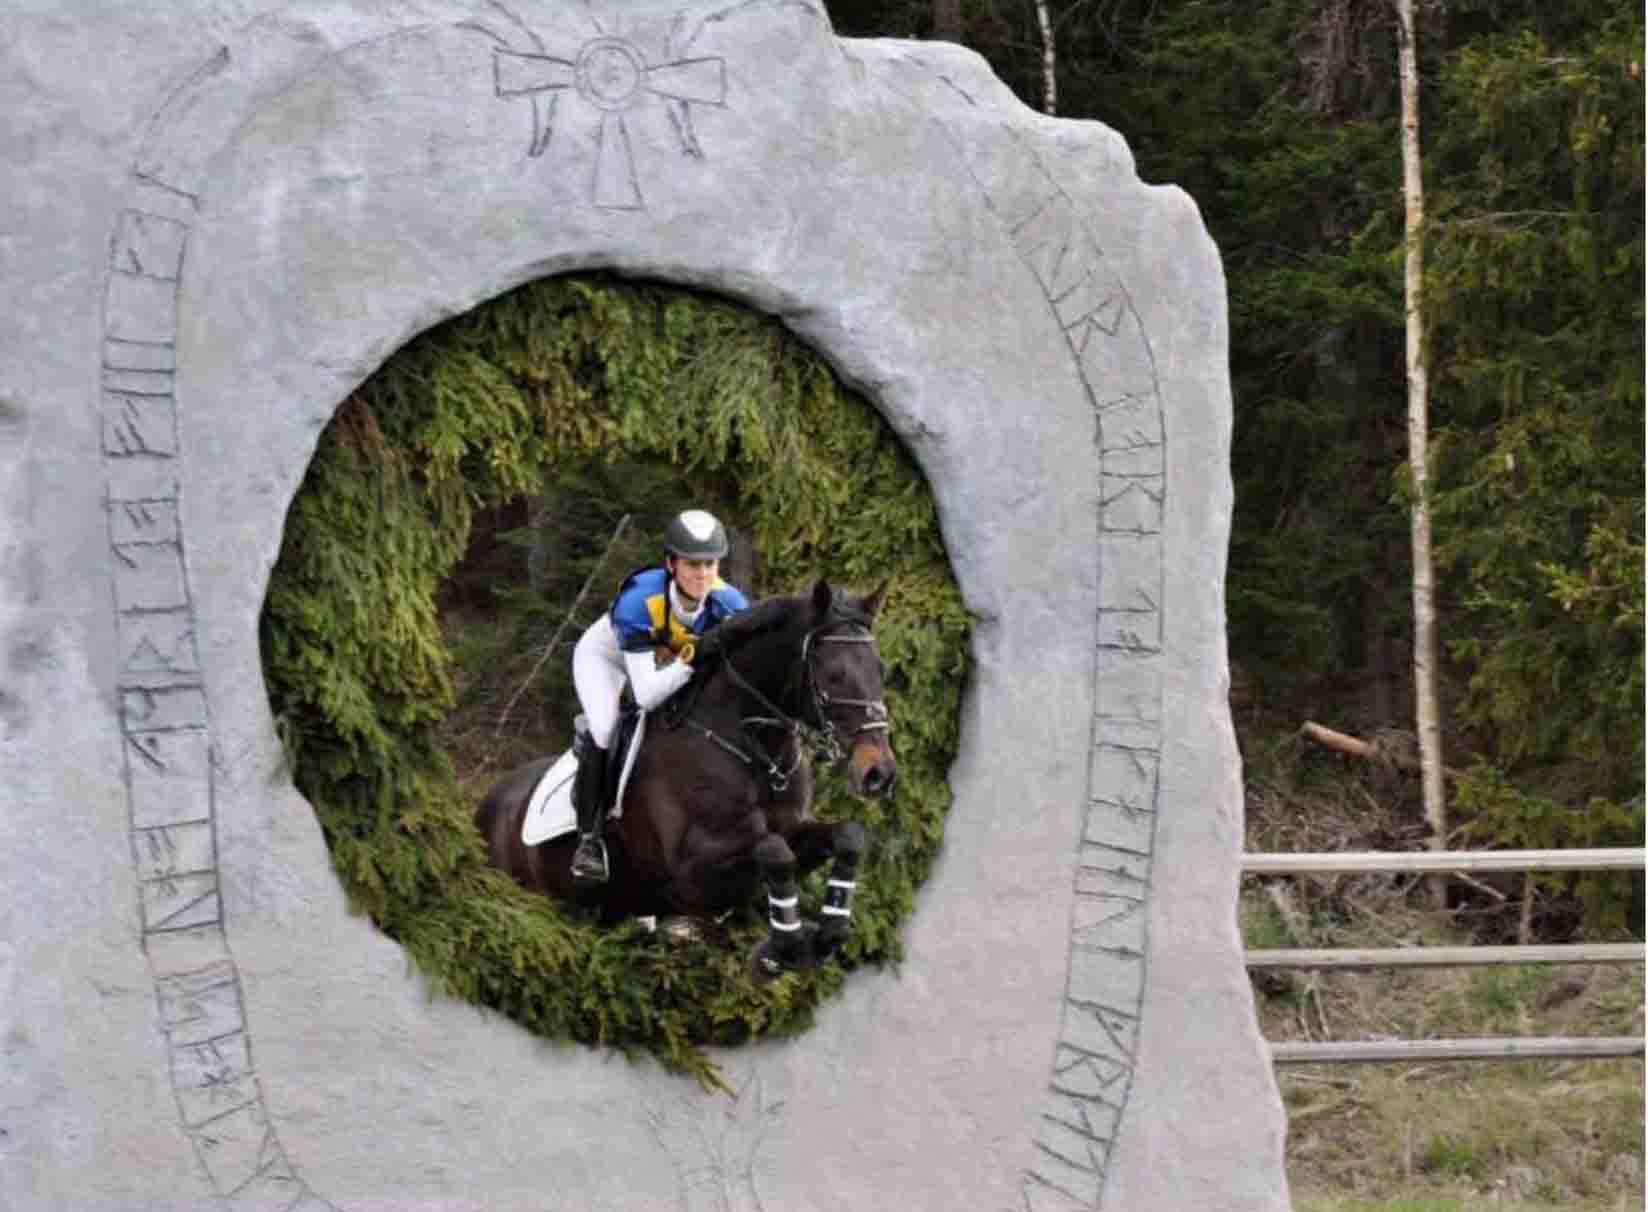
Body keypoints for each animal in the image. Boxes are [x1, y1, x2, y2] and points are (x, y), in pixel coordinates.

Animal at [471, 577, 896, 976]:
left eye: (880, 669)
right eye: (834, 675)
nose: (879, 773)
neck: (755, 751)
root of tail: (486, 803)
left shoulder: (793, 830)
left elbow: (847, 836)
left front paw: (828, 933)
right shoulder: (691, 877)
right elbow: (774, 851)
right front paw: (785, 946)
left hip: (602, 911)